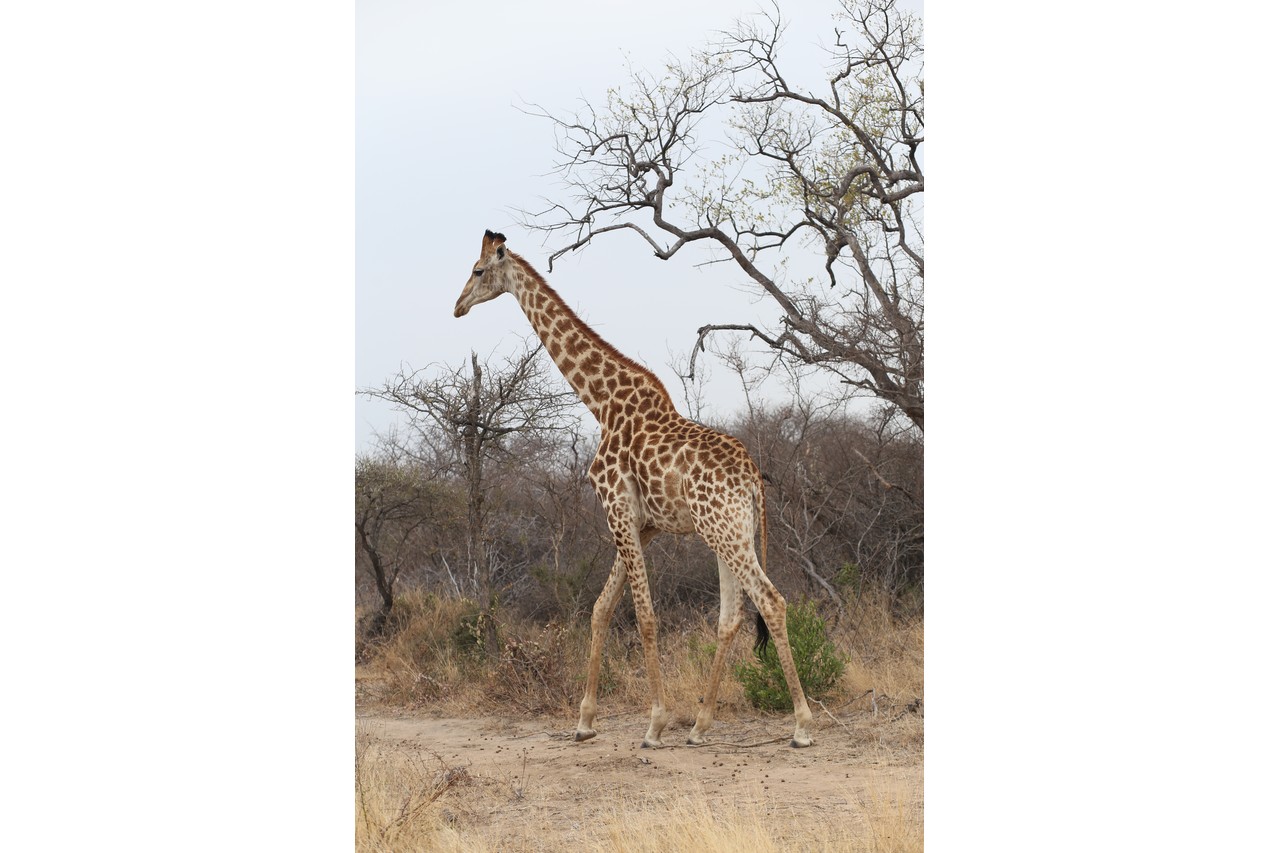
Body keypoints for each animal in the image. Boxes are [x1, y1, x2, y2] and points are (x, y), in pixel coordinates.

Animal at [453, 229, 814, 748]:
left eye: (478, 271)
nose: (457, 306)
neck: (602, 403)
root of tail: (751, 478)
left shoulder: (617, 508)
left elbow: (643, 615)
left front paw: (654, 723)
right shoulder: (645, 524)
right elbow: (602, 607)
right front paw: (585, 721)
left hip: (723, 529)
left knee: (771, 601)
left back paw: (802, 726)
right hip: (731, 530)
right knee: (730, 617)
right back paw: (700, 727)